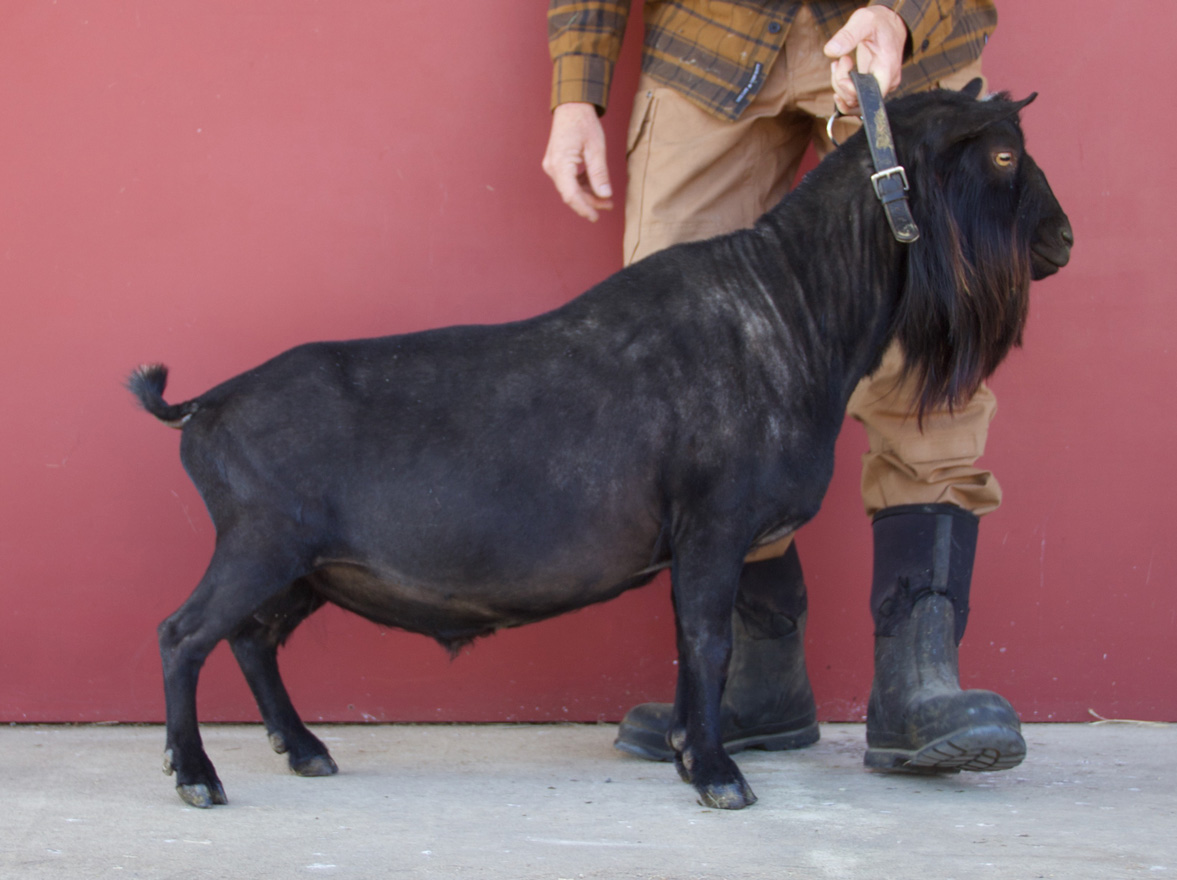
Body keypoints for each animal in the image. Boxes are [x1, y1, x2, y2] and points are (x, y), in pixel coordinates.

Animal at [128, 85, 1078, 809]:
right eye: (1001, 158)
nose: (1061, 240)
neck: (789, 308)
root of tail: (202, 408)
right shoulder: (713, 521)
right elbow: (707, 641)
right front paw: (719, 776)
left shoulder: (707, 537)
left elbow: (698, 642)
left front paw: (694, 755)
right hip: (262, 542)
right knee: (183, 634)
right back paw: (198, 774)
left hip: (305, 565)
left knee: (252, 640)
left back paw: (303, 748)